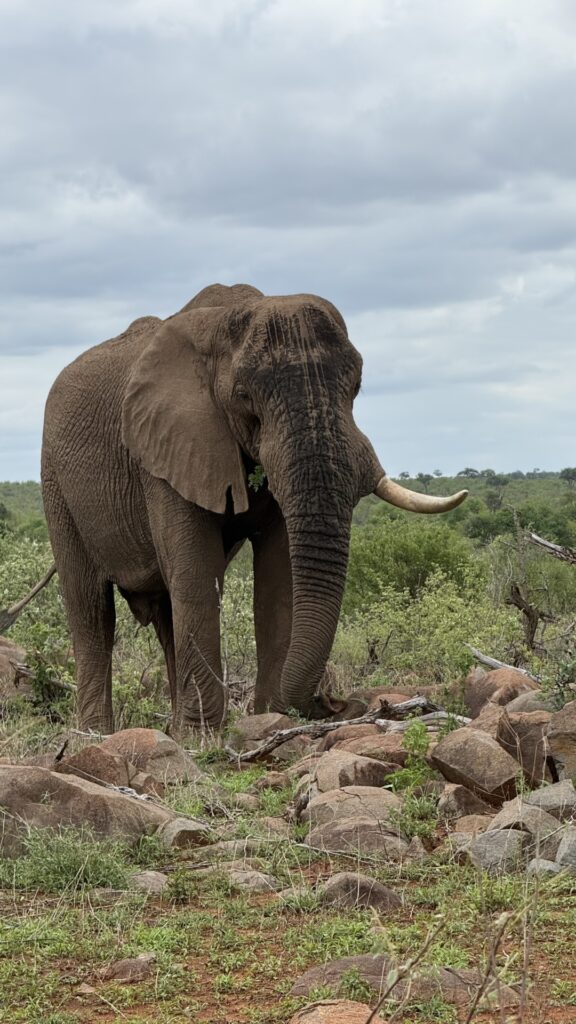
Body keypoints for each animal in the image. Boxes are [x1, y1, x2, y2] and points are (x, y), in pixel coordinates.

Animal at [41, 283, 467, 734]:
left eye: (357, 386)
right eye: (245, 398)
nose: (331, 703)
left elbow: (276, 577)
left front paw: (269, 720)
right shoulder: (162, 452)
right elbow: (196, 572)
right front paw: (204, 737)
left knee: (166, 614)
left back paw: (170, 727)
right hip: (55, 484)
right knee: (91, 610)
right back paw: (94, 734)